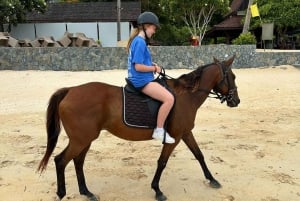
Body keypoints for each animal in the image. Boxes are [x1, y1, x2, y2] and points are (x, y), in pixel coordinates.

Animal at [37, 55, 240, 201]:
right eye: (232, 77)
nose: (236, 101)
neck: (186, 96)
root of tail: (70, 90)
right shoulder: (174, 137)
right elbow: (162, 162)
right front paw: (157, 190)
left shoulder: (186, 133)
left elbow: (199, 155)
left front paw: (212, 179)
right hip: (80, 140)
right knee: (60, 161)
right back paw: (62, 193)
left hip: (85, 139)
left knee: (78, 162)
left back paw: (86, 192)